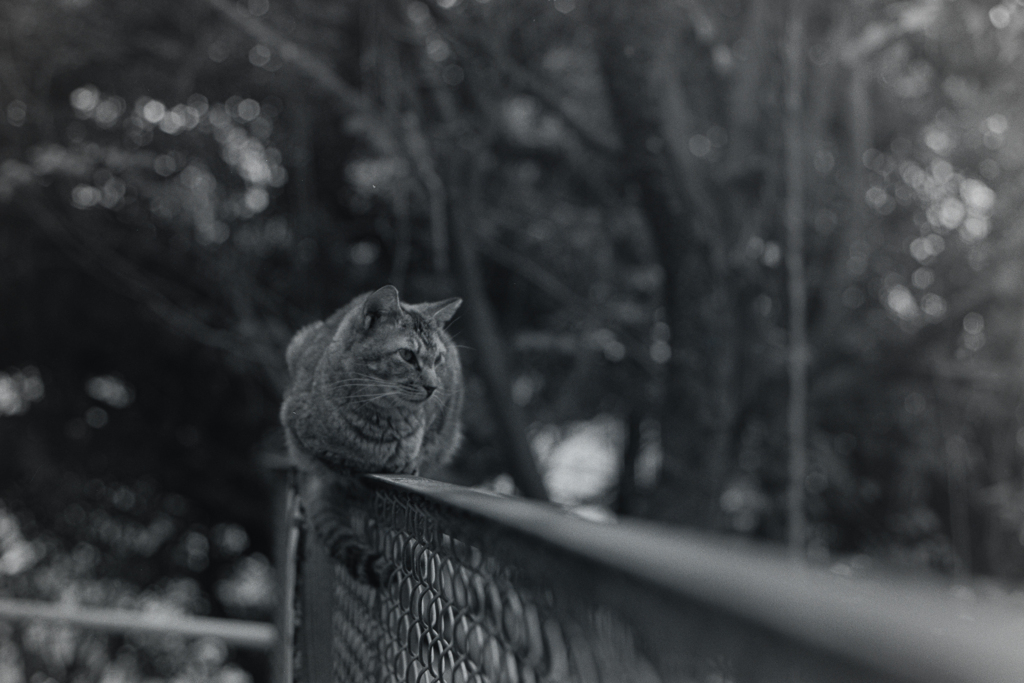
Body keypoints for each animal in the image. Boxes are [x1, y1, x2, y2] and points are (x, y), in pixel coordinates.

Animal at [280, 286, 464, 585]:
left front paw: (408, 463)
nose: (433, 387)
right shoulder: (295, 427)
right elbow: (336, 461)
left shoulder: (441, 417)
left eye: (438, 360)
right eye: (407, 356)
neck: (382, 423)